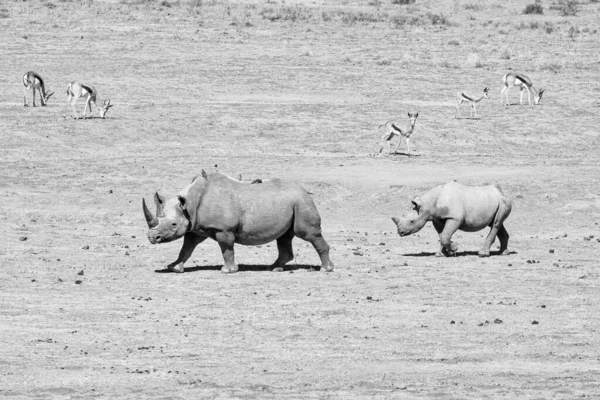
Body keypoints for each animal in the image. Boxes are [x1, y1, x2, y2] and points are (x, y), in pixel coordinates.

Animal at [143, 170, 336, 274]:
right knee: (283, 237)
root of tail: (304, 191)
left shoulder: (223, 228)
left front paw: (227, 270)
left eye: (173, 225)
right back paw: (273, 268)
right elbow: (186, 248)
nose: (152, 237)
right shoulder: (194, 227)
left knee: (308, 234)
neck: (189, 203)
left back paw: (326, 269)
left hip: (301, 203)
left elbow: (227, 248)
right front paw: (174, 267)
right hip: (291, 204)